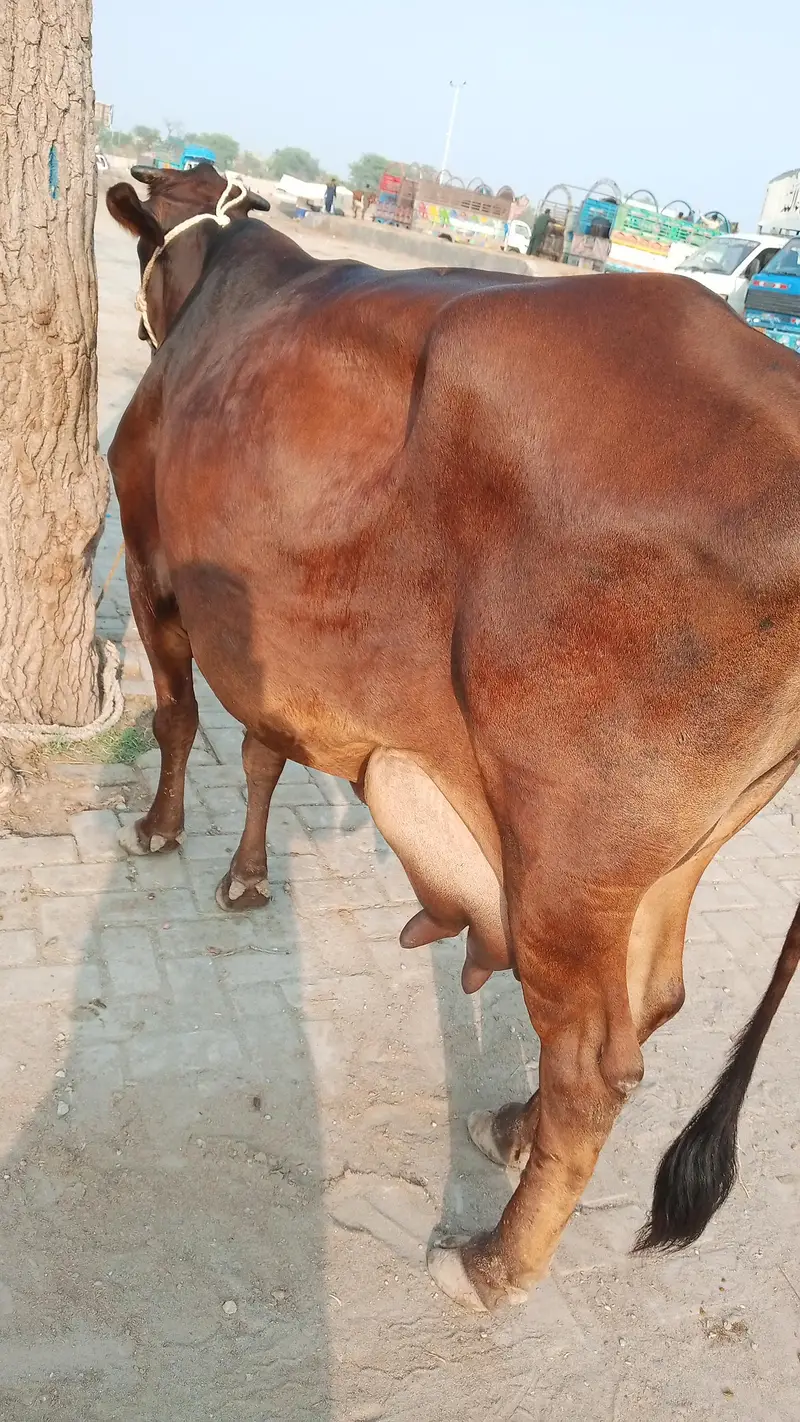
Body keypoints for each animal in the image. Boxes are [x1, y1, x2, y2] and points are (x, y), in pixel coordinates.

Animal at [106, 163, 800, 1314]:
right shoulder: (278, 651)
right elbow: (261, 751)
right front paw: (247, 876)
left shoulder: (148, 557)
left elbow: (177, 715)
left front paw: (160, 832)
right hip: (676, 847)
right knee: (651, 999)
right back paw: (511, 1127)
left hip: (565, 849)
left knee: (592, 1061)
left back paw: (492, 1260)